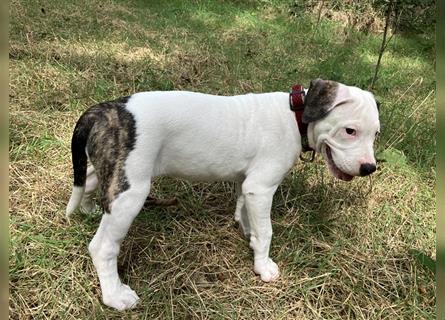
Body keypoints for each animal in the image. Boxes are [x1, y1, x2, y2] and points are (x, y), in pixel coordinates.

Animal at [65, 78, 378, 310]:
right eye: (350, 131)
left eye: (375, 134)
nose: (369, 168)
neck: (296, 114)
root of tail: (102, 110)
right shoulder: (261, 188)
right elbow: (267, 231)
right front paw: (263, 267)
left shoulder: (247, 185)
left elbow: (246, 214)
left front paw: (249, 236)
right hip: (131, 193)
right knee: (103, 246)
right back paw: (115, 296)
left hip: (113, 172)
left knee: (89, 180)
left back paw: (89, 209)